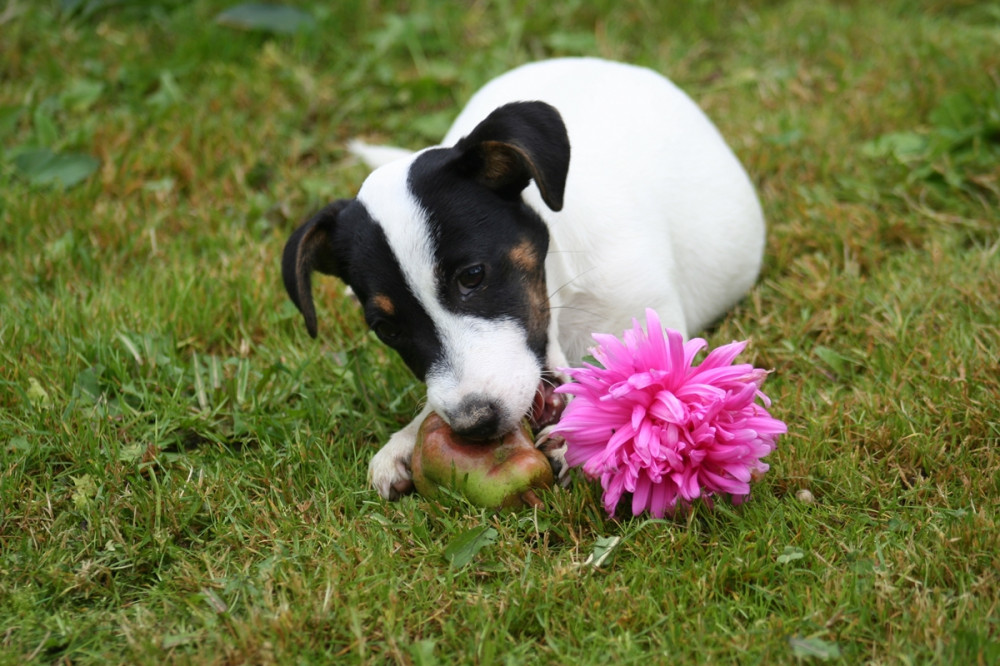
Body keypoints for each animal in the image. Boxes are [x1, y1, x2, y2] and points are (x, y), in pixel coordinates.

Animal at [282, 58, 764, 498]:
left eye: (472, 276)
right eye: (386, 329)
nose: (475, 424)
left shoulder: (651, 323)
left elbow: (637, 392)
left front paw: (583, 437)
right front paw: (407, 437)